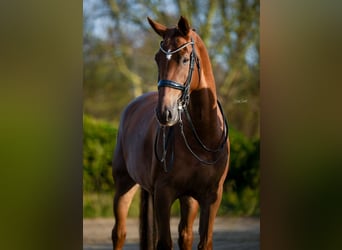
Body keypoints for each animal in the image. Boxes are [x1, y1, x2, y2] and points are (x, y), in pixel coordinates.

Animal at [112, 16, 230, 249]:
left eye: (184, 59)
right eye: (157, 58)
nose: (164, 113)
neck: (203, 138)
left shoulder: (211, 197)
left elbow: (203, 241)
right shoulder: (163, 194)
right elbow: (164, 242)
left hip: (188, 199)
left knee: (185, 235)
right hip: (124, 185)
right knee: (119, 233)